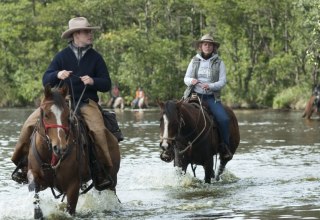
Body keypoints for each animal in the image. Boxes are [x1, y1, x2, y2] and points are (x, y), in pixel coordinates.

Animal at [26, 84, 120, 218]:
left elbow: (70, 209)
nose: (60, 148)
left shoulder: (73, 185)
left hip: (111, 179)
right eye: (46, 114)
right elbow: (35, 193)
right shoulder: (36, 176)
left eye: (67, 116)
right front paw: (38, 213)